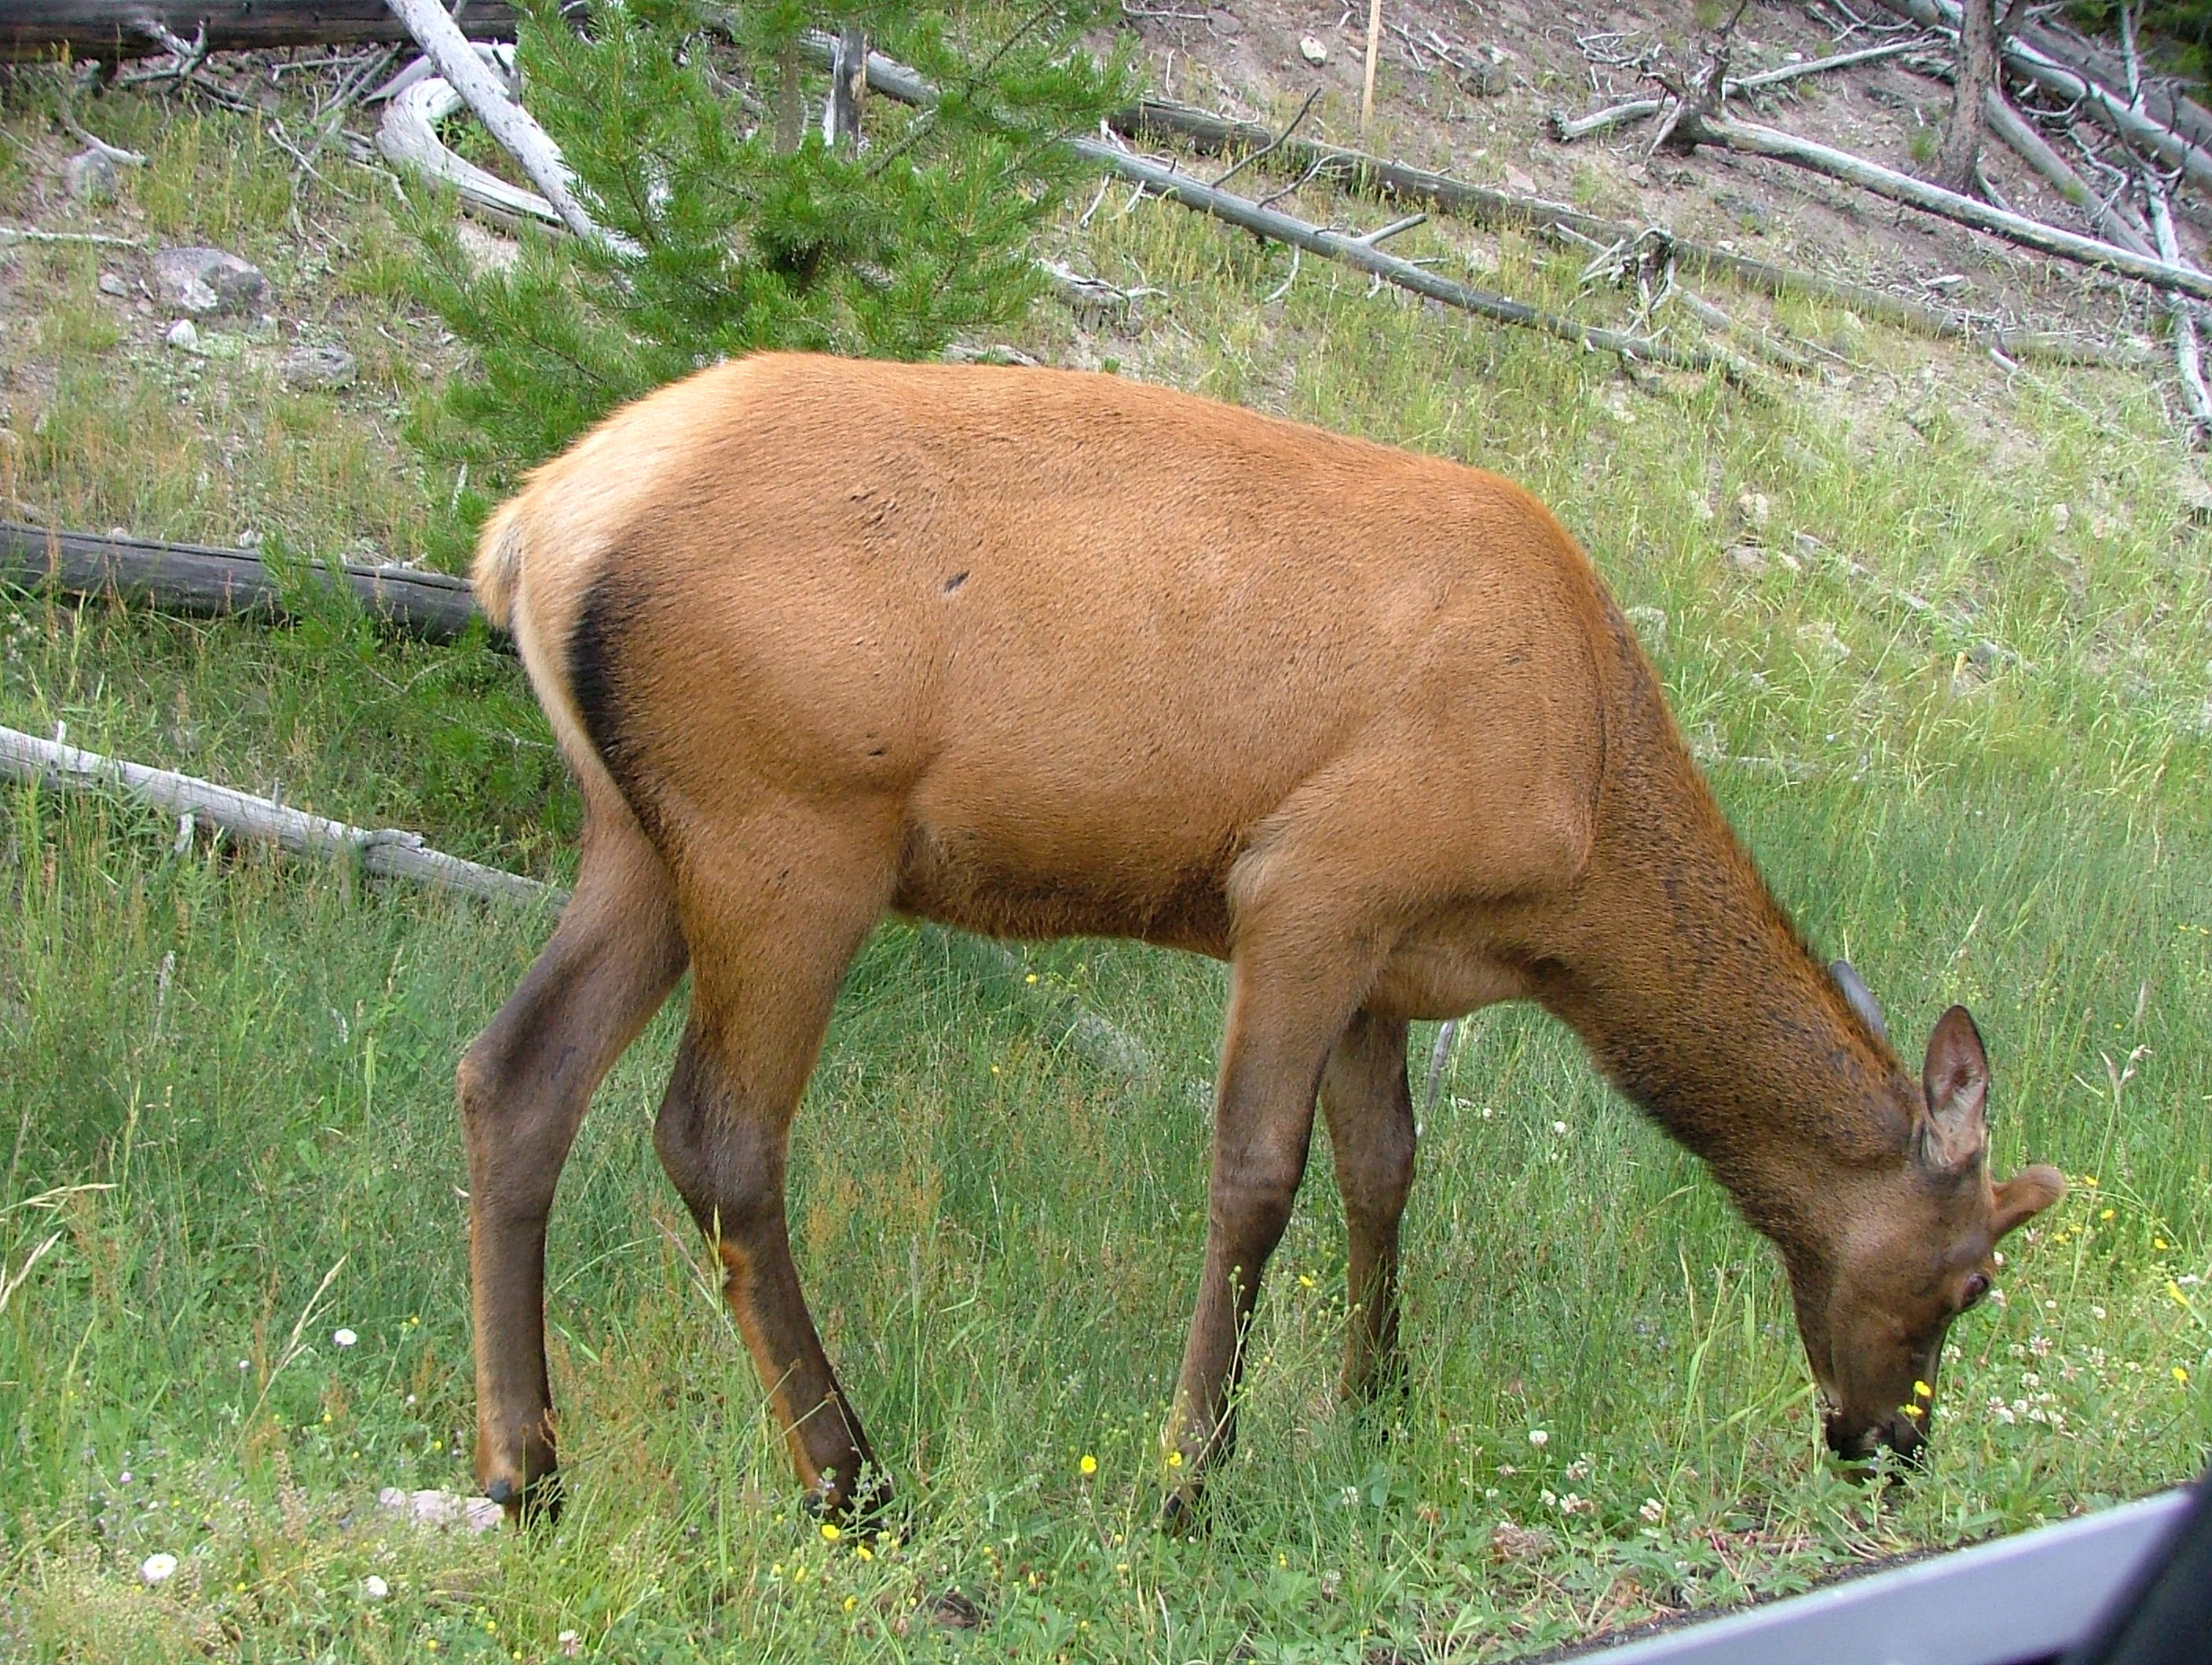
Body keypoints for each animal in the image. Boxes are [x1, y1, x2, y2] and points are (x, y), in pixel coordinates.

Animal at [457, 351, 2061, 1520]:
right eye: (1971, 1280)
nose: (1890, 1449)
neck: (1576, 856)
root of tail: (528, 531)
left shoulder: (1389, 954)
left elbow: (1386, 1167)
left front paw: (1377, 1404)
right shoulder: (1311, 884)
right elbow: (1255, 1179)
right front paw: (1188, 1476)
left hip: (638, 840)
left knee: (511, 1076)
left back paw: (526, 1471)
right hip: (789, 829)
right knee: (716, 1139)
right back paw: (851, 1482)